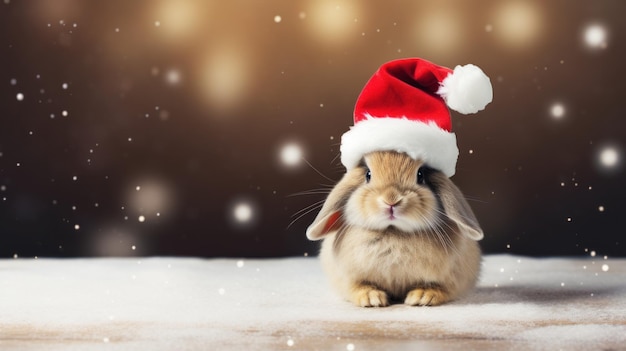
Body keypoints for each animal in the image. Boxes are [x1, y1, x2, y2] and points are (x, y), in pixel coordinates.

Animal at [308, 151, 482, 308]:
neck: (393, 232)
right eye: (368, 174)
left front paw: (422, 297)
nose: (391, 200)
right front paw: (372, 299)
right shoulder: (349, 277)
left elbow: (439, 287)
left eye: (420, 175)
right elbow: (358, 286)